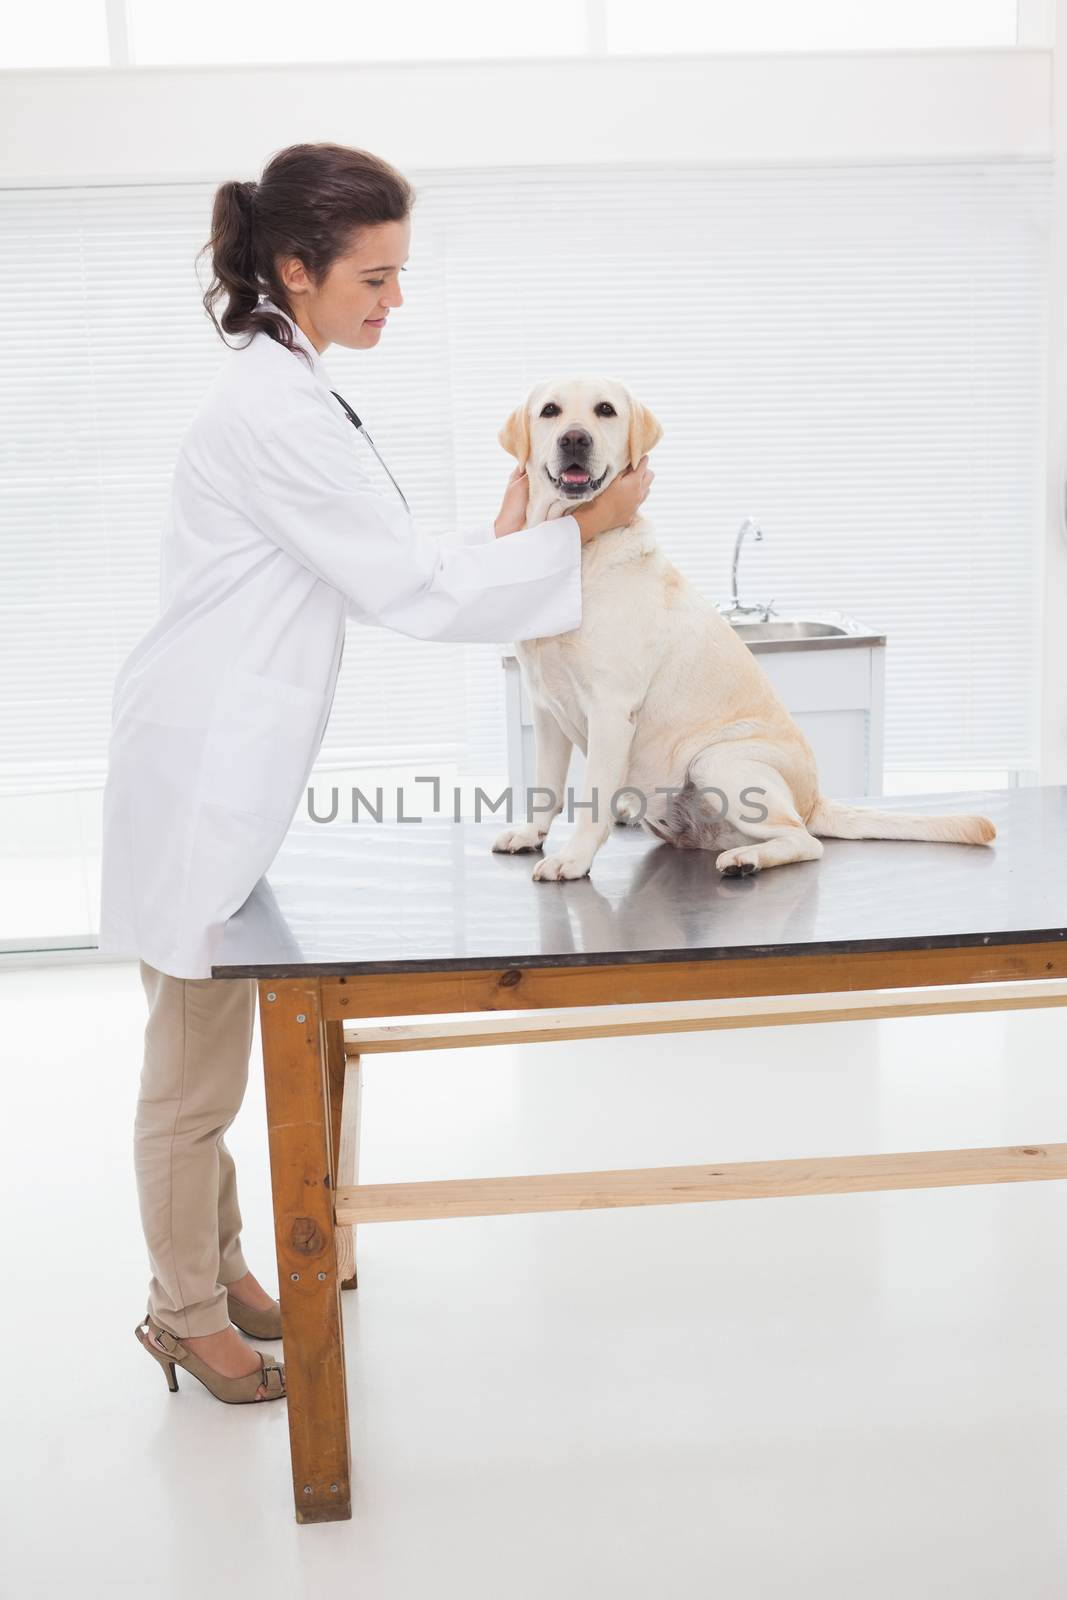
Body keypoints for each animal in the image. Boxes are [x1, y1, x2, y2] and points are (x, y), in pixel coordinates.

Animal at [489, 372, 991, 883]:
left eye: (605, 410)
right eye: (550, 411)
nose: (575, 438)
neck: (577, 551)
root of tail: (815, 801)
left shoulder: (611, 708)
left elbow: (591, 799)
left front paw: (573, 858)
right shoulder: (544, 707)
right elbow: (546, 785)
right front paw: (531, 833)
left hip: (717, 760)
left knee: (805, 841)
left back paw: (745, 860)